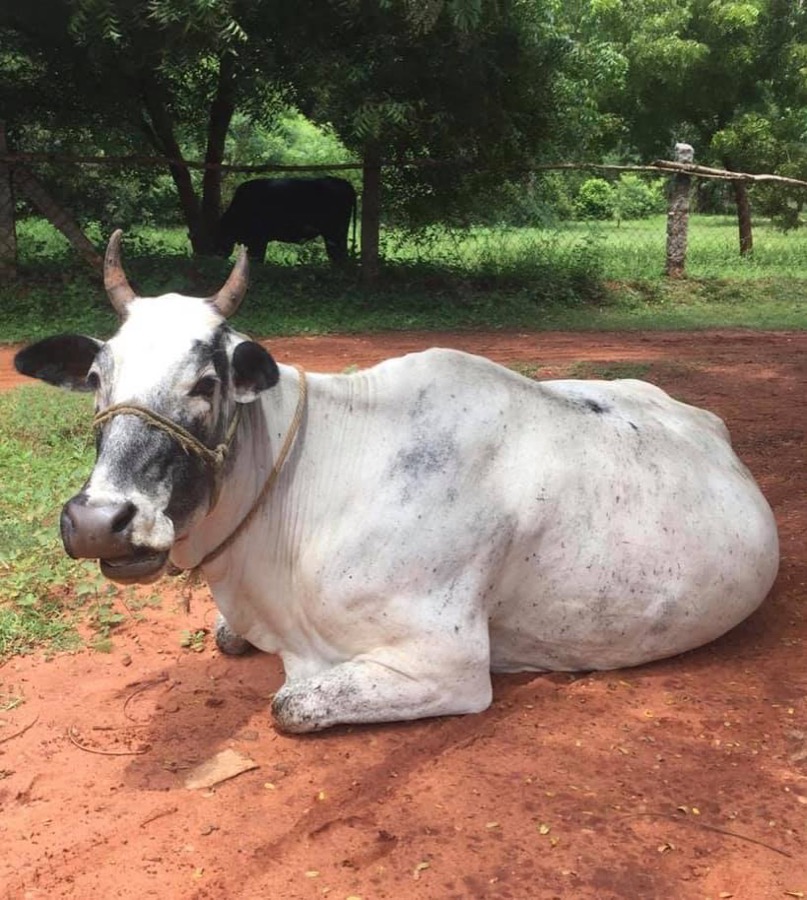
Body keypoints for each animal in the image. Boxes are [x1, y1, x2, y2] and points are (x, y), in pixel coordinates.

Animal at [14, 232, 779, 733]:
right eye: (97, 377)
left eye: (206, 382)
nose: (98, 522)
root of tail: (706, 419)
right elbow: (228, 638)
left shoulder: (448, 664)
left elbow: (291, 705)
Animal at [215, 176, 357, 264]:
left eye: (220, 235)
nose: (217, 255)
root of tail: (343, 182)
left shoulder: (258, 239)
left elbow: (257, 258)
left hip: (334, 234)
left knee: (338, 255)